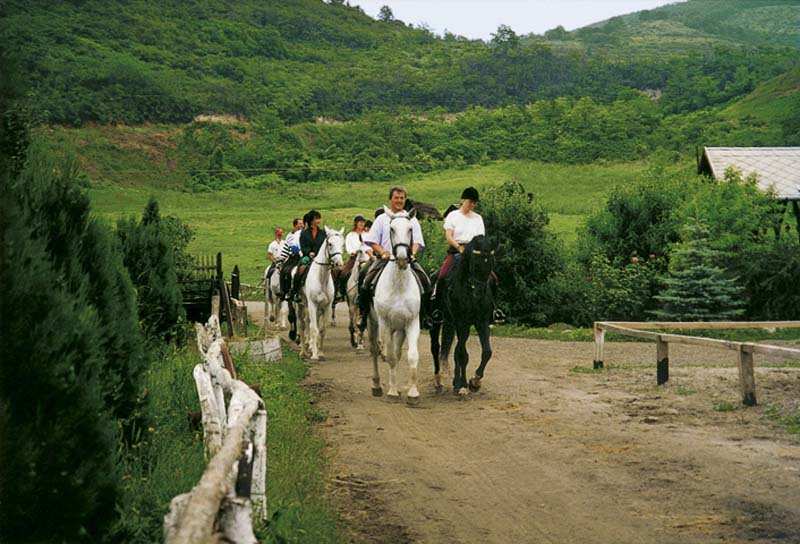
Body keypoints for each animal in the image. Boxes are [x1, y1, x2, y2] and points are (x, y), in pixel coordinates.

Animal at [296, 227, 340, 364]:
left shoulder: (326, 306)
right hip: (300, 305)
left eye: (342, 243)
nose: (338, 263)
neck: (321, 278)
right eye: (330, 244)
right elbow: (314, 329)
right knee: (302, 324)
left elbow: (322, 330)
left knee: (307, 322)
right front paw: (314, 355)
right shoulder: (313, 304)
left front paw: (320, 353)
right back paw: (303, 351)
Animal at [366, 207, 422, 404]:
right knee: (375, 350)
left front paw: (412, 394)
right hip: (373, 323)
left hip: (400, 329)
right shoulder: (386, 324)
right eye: (391, 229)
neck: (398, 285)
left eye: (410, 229)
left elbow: (411, 356)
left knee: (397, 354)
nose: (403, 258)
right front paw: (391, 392)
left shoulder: (411, 323)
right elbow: (389, 356)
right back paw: (376, 386)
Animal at [432, 234, 494, 396]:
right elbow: (462, 354)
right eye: (475, 264)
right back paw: (444, 382)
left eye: (491, 264)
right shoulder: (462, 323)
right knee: (441, 348)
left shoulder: (481, 322)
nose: (479, 293)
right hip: (439, 322)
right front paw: (463, 385)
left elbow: (487, 352)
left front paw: (475, 381)